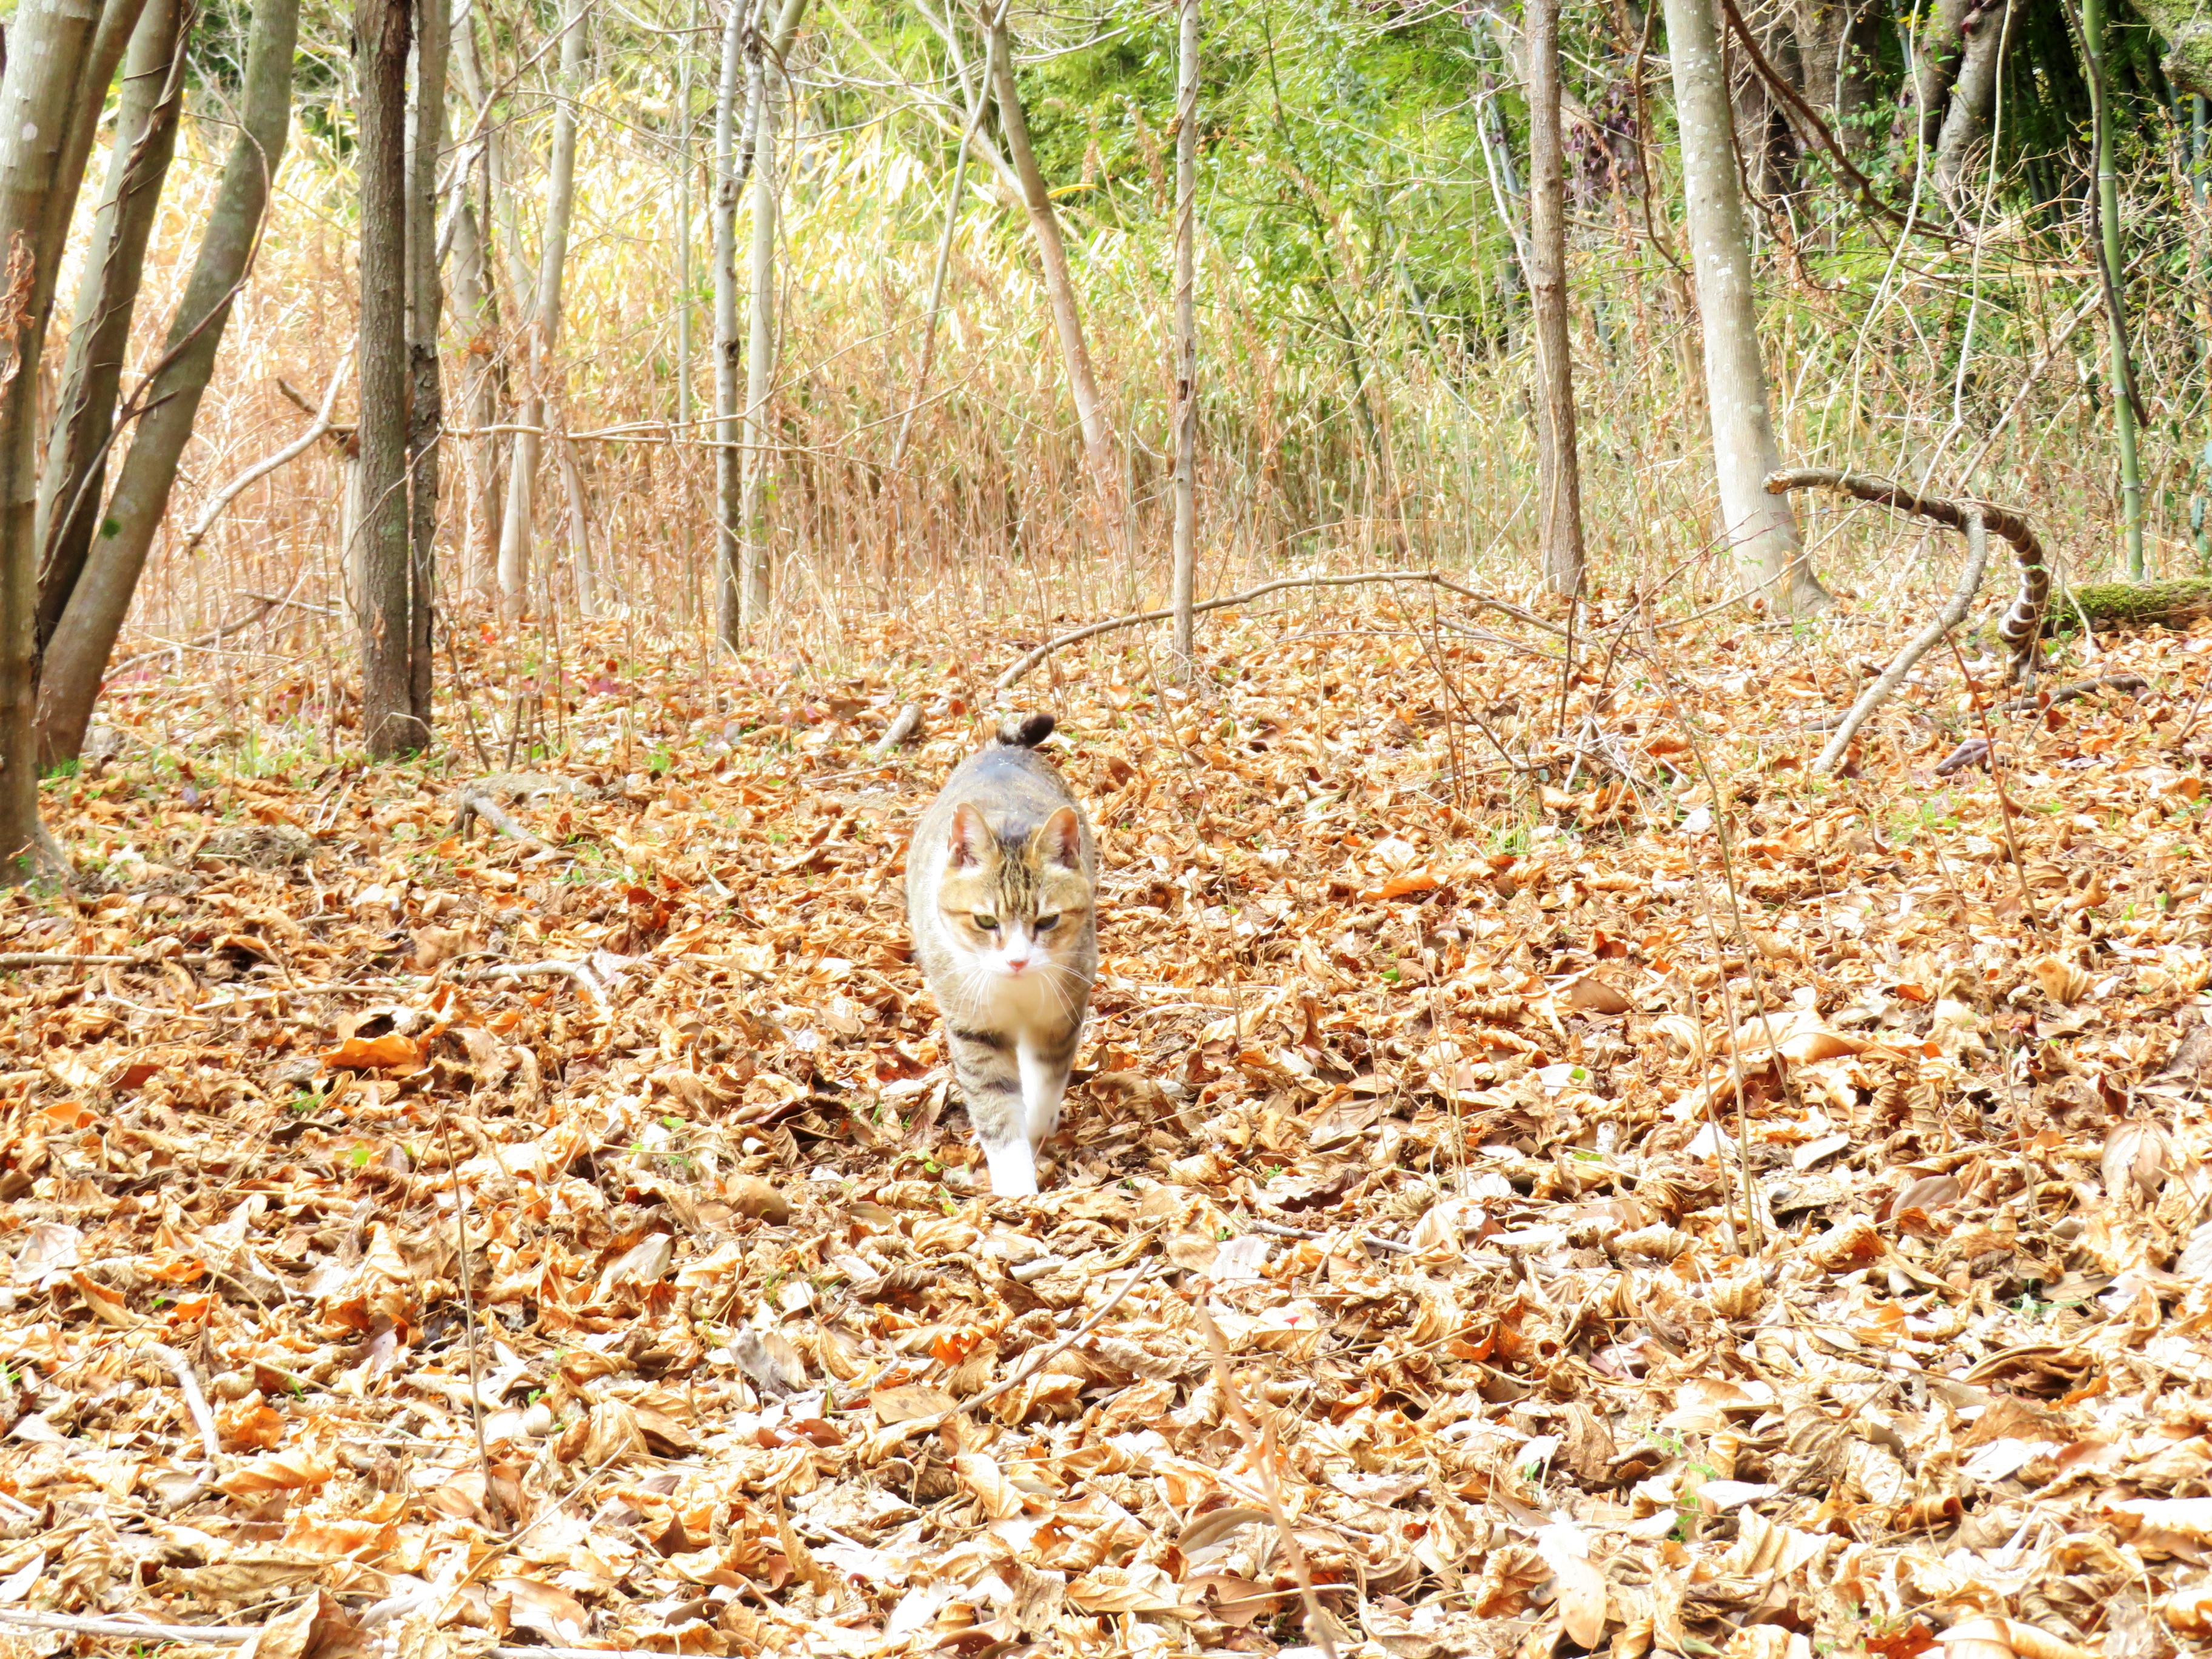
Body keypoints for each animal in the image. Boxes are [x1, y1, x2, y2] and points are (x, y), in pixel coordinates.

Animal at [907, 716, 1097, 1194]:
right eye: (985, 921)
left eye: (1048, 922)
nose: (1017, 961)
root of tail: (1000, 751)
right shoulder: (974, 1027)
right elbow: (995, 1105)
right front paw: (1017, 1191)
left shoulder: (1061, 1011)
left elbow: (1046, 1080)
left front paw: (1037, 1131)